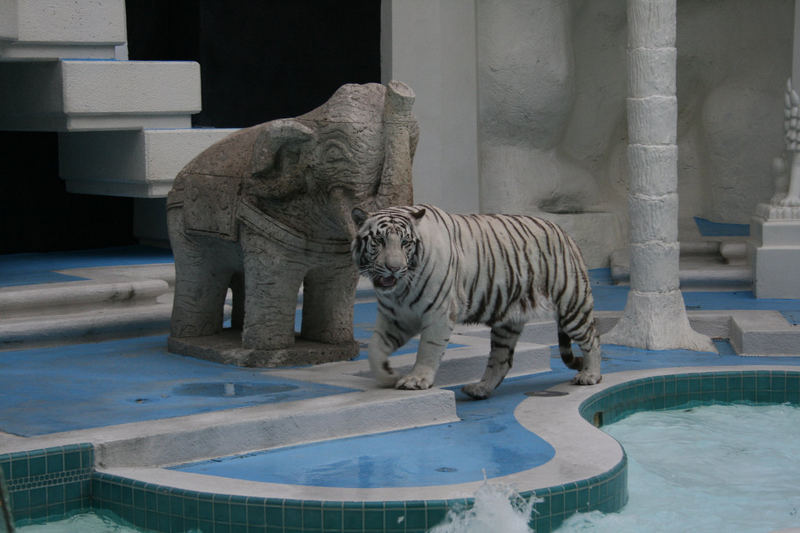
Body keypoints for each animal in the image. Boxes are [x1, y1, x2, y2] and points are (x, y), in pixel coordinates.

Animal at [350, 204, 600, 400]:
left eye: (405, 243)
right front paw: (387, 376)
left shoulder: (438, 313)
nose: (394, 267)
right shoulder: (395, 318)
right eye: (379, 240)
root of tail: (565, 233)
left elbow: (428, 349)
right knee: (501, 359)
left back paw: (590, 375)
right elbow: (375, 349)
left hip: (572, 304)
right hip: (507, 323)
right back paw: (480, 389)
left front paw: (416, 379)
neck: (400, 290)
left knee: (592, 338)